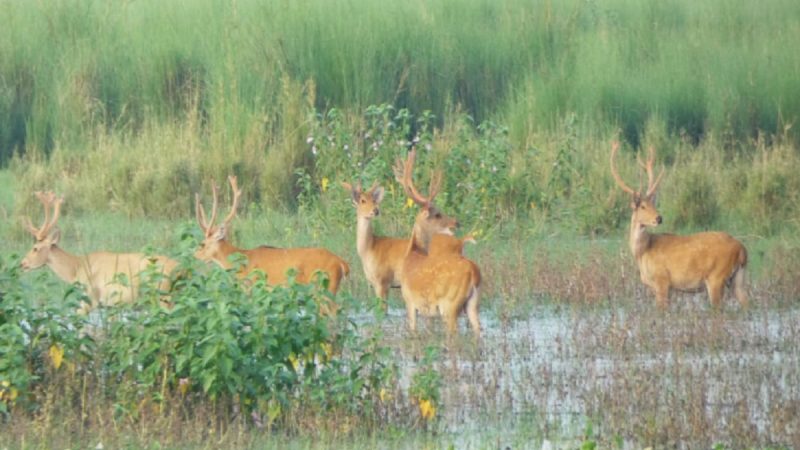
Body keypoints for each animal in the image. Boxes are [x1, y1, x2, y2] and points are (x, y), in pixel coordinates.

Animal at [21, 190, 177, 312]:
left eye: (35, 248)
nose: (22, 264)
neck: (76, 268)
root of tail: (179, 268)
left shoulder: (88, 299)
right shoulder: (110, 306)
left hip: (164, 296)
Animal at [195, 174, 350, 308]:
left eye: (202, 244)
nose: (195, 256)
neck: (243, 263)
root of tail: (342, 263)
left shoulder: (255, 288)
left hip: (324, 288)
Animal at [392, 151, 482, 338]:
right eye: (438, 214)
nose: (457, 222)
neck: (413, 254)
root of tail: (474, 272)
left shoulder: (410, 301)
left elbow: (413, 330)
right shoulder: (428, 313)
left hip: (450, 304)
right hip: (473, 303)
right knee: (478, 331)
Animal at [612, 142, 752, 312]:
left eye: (653, 204)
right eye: (643, 206)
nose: (659, 218)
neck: (643, 251)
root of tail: (742, 250)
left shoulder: (662, 280)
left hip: (716, 276)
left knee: (719, 309)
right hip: (739, 277)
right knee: (747, 303)